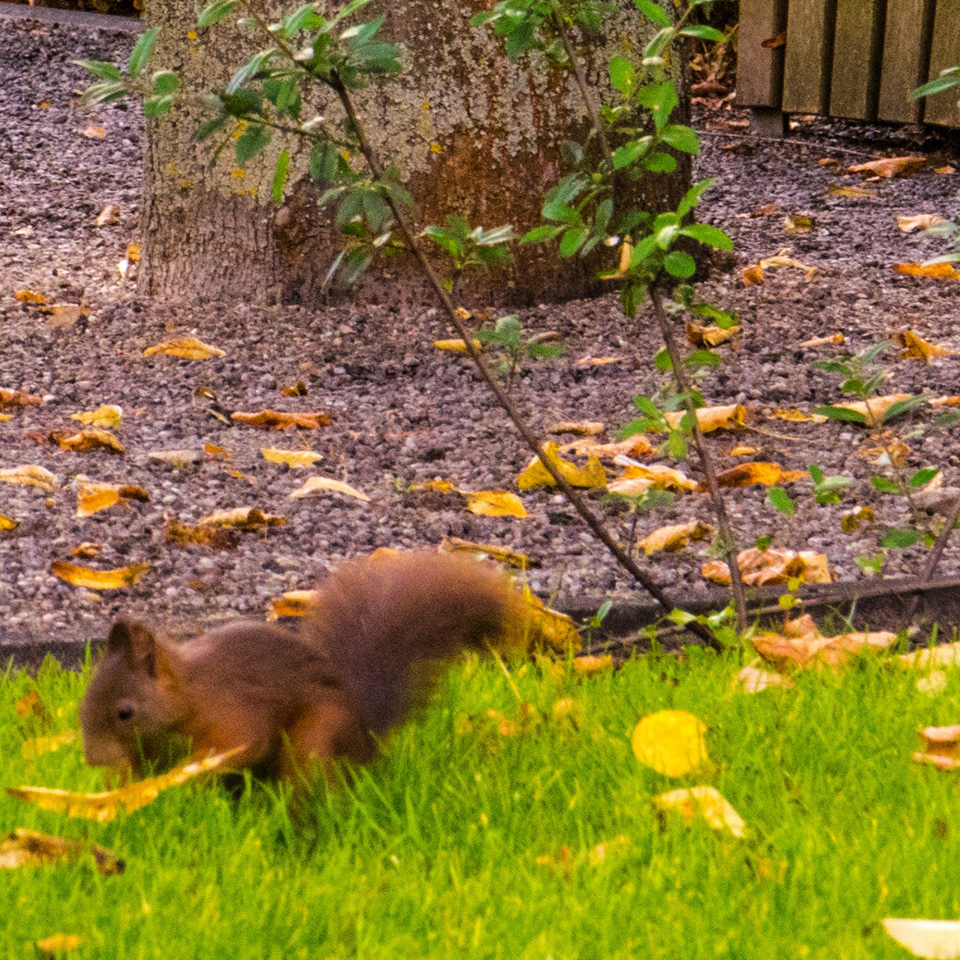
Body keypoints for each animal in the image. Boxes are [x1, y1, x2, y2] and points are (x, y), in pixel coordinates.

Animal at [82, 552, 528, 784]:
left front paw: (189, 773)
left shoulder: (232, 710)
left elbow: (244, 743)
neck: (190, 693)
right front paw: (126, 786)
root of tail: (364, 738)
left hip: (318, 735)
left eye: (125, 712)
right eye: (84, 704)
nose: (92, 760)